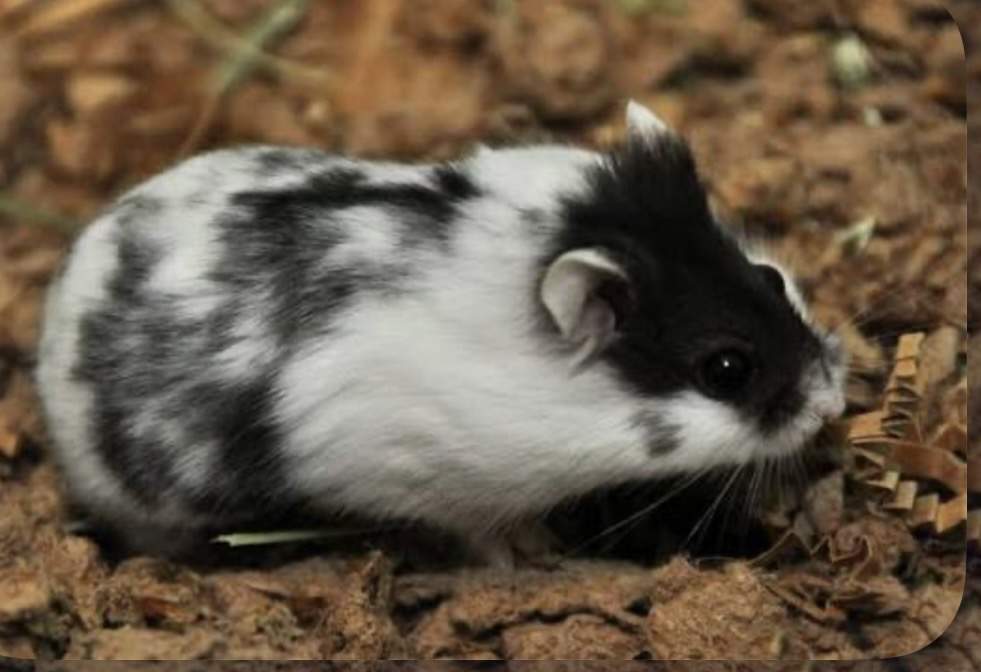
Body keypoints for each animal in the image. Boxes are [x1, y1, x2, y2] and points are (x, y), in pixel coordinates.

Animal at [35, 101, 846, 564]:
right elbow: (488, 536)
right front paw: (537, 558)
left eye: (772, 279)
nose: (832, 404)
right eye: (726, 370)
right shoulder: (449, 486)